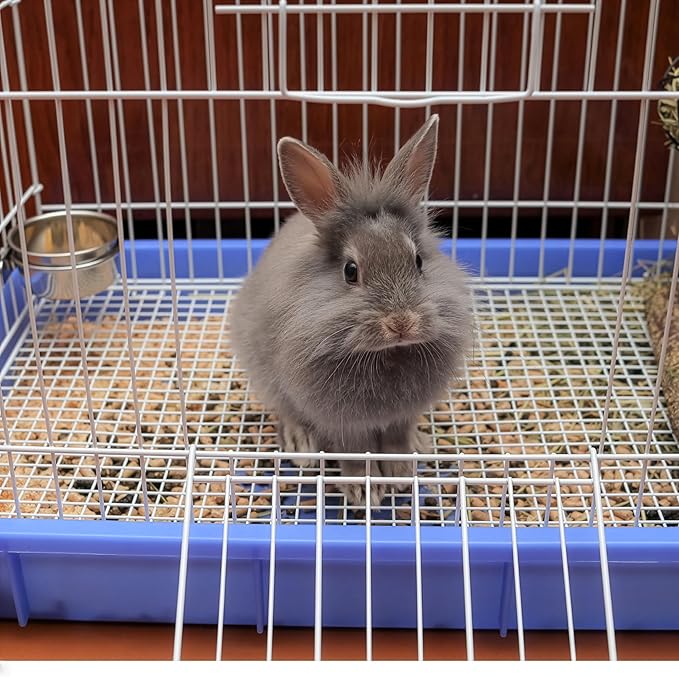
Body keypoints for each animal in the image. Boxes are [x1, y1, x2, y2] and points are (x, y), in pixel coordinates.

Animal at [230, 114, 474, 507]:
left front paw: (402, 474)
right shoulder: (341, 422)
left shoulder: (401, 417)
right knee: (286, 412)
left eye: (419, 261)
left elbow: (396, 441)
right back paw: (301, 446)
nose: (401, 323)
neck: (387, 354)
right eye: (350, 271)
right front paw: (364, 489)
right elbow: (355, 453)